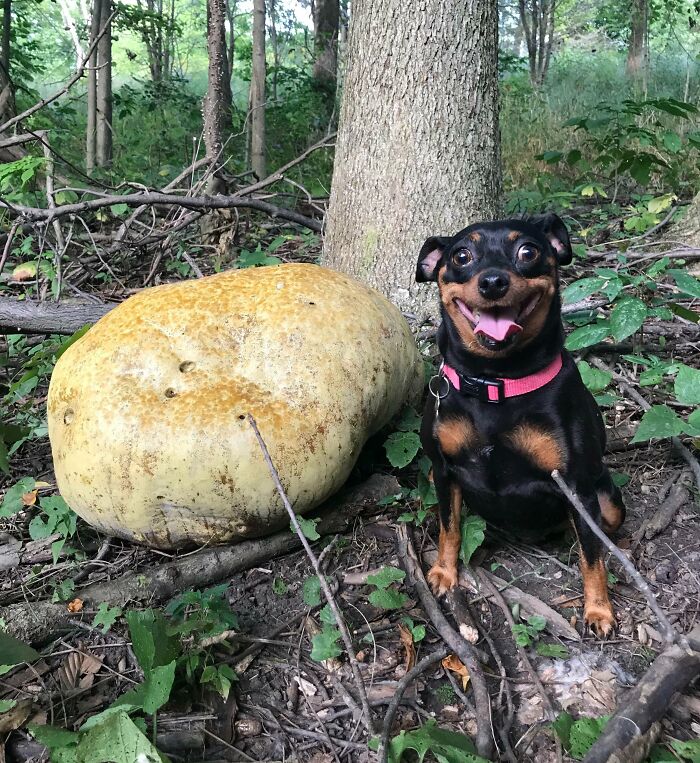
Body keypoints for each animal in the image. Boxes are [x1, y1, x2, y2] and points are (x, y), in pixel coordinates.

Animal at [416, 212, 624, 636]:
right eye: (461, 255)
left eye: (527, 251)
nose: (493, 281)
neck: (497, 381)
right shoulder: (444, 470)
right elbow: (449, 527)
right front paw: (445, 572)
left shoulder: (576, 485)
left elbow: (592, 555)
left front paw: (599, 610)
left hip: (607, 500)